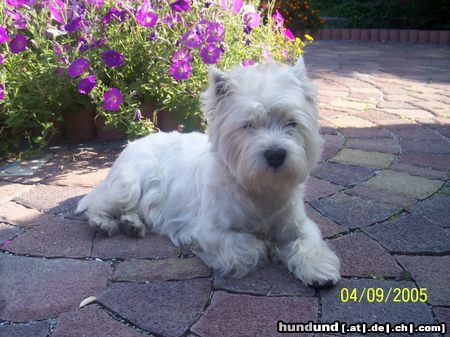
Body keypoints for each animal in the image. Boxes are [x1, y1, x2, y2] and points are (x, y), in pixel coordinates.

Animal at [75, 58, 340, 286]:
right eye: (248, 125)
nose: (276, 155)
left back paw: (132, 224)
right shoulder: (210, 231)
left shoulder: (297, 223)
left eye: (291, 123)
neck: (259, 188)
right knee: (98, 202)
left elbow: (308, 241)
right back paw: (105, 223)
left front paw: (320, 270)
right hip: (128, 186)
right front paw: (267, 247)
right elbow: (248, 246)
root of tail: (134, 141)